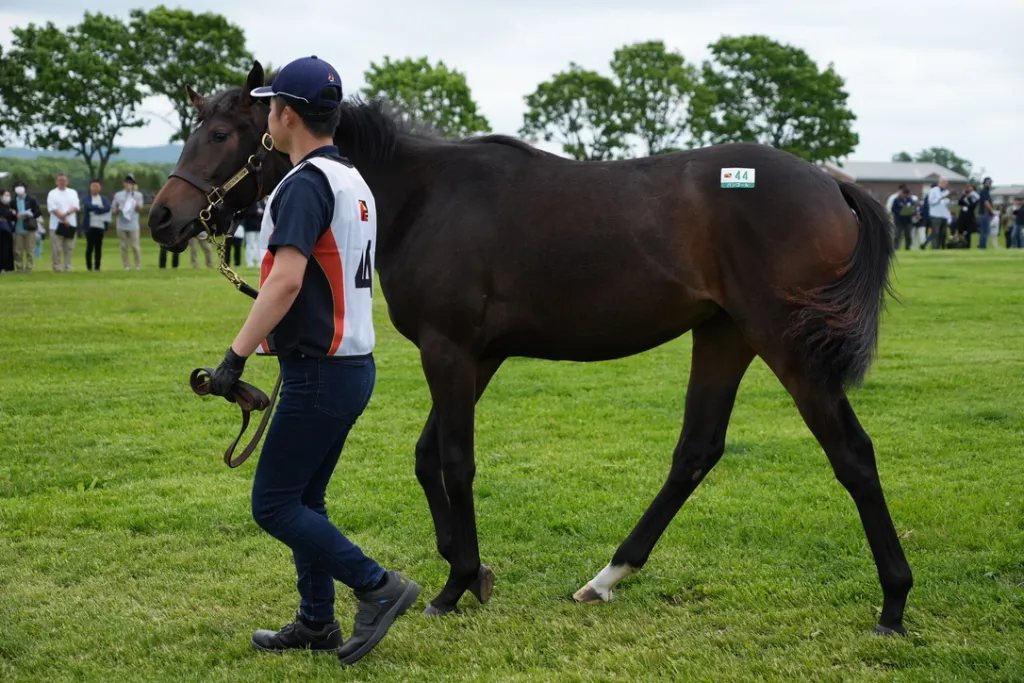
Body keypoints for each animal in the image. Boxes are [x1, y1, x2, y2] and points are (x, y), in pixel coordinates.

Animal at [148, 61, 913, 635]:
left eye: (222, 132)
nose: (163, 217)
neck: (421, 197)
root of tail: (833, 182)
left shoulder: (450, 350)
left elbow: (455, 461)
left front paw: (454, 585)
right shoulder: (477, 356)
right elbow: (427, 456)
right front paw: (469, 568)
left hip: (787, 345)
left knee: (851, 453)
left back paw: (894, 602)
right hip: (723, 334)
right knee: (696, 452)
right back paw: (608, 576)